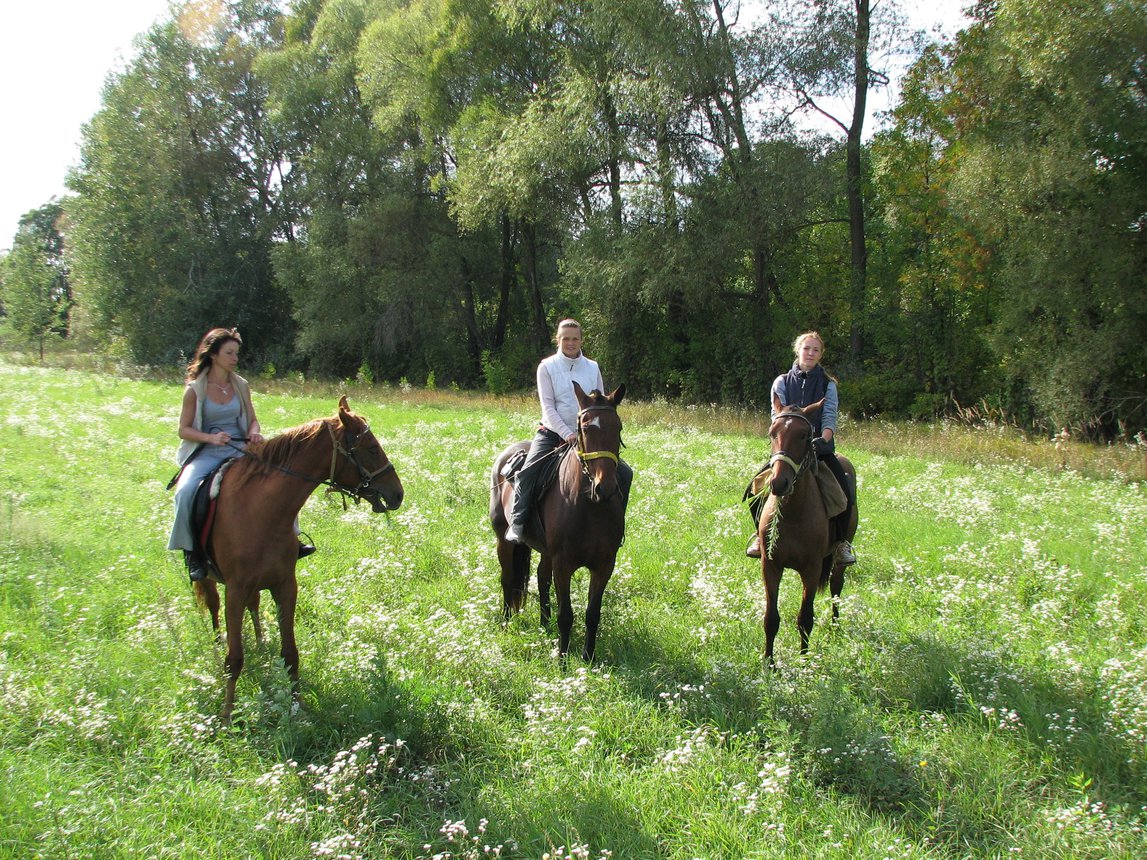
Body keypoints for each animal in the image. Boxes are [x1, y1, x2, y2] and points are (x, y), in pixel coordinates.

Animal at [197, 396, 408, 720]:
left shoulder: (285, 585)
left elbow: (290, 652)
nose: (398, 494)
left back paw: (261, 642)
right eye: (372, 448)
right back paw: (218, 642)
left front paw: (298, 708)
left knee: (253, 606)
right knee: (213, 605)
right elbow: (234, 659)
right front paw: (227, 716)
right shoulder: (235, 589)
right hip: (209, 579)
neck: (262, 513)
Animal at [486, 382, 628, 660]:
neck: (589, 506)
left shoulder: (605, 565)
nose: (605, 488)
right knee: (507, 579)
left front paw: (588, 659)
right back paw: (507, 623)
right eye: (585, 428)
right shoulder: (564, 564)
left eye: (617, 427)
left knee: (541, 578)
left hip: (545, 550)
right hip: (503, 540)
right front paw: (562, 661)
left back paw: (544, 624)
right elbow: (566, 616)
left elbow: (592, 614)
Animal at [757, 394, 857, 665]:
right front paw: (769, 663)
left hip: (837, 560)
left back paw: (835, 627)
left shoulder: (812, 569)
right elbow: (771, 618)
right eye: (772, 432)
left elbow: (805, 619)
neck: (793, 514)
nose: (778, 483)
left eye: (803, 435)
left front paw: (804, 662)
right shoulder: (770, 565)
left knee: (836, 586)